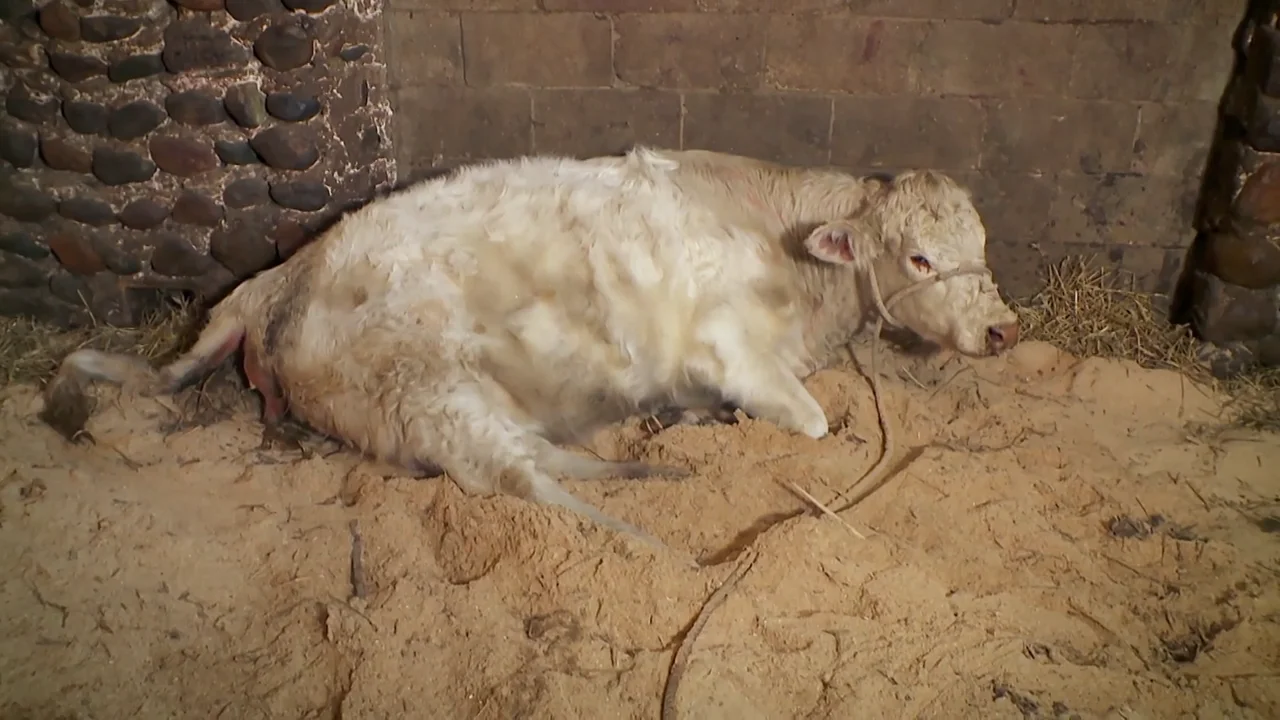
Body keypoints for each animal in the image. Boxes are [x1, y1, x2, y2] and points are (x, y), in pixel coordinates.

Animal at [39, 146, 1020, 547]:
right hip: (427, 386)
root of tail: (279, 278)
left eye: (981, 243)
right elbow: (815, 426)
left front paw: (689, 423)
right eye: (919, 256)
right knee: (521, 480)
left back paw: (657, 457)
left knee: (539, 461)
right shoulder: (733, 351)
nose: (1004, 330)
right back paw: (657, 525)